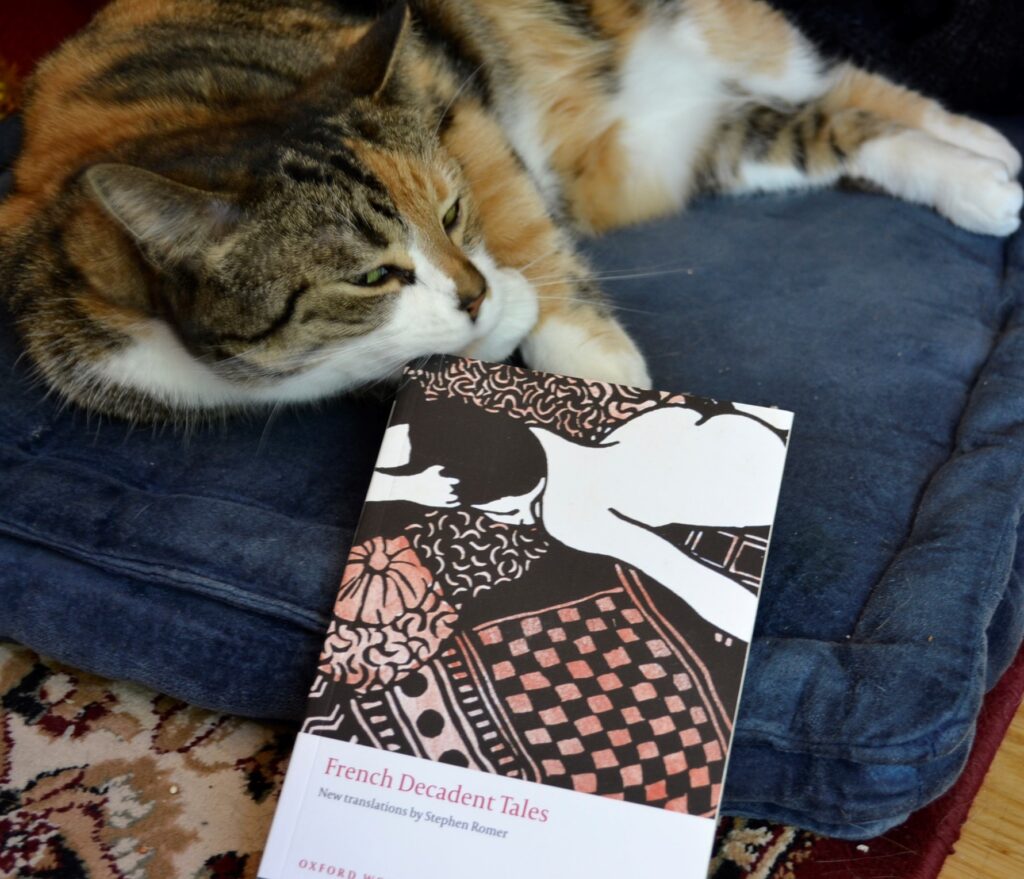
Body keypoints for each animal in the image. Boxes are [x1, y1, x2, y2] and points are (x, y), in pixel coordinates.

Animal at [2, 0, 1024, 422]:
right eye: (371, 273)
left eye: (453, 212)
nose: (475, 291)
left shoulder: (446, 97)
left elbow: (522, 217)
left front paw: (591, 359)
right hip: (674, 146)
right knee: (821, 124)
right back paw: (977, 175)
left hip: (711, 34)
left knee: (841, 80)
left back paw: (988, 149)